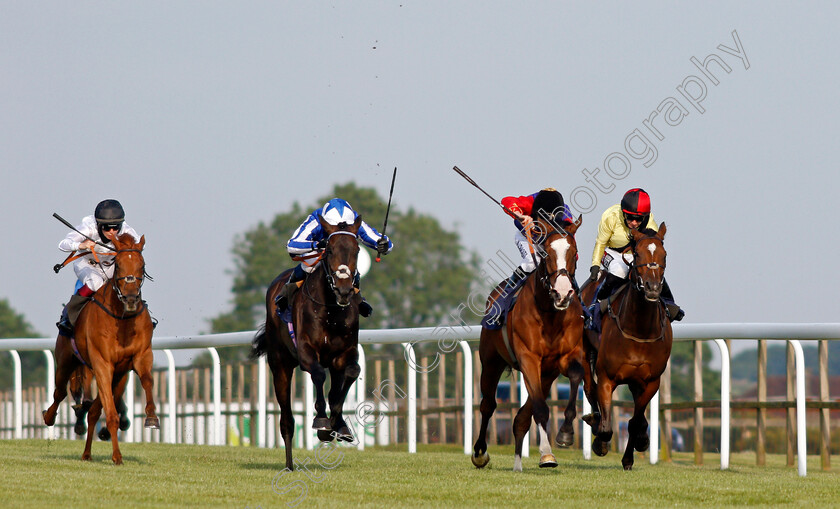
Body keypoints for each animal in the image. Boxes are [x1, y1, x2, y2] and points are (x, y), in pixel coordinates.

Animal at [42, 232, 159, 462]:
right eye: (119, 265)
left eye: (141, 265)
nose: (131, 298)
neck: (122, 319)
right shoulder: (102, 363)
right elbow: (110, 414)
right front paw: (117, 457)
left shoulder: (140, 357)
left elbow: (148, 381)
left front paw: (151, 418)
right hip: (66, 362)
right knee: (60, 393)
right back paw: (49, 417)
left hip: (117, 375)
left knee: (94, 411)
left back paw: (87, 453)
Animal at [253, 213, 364, 468]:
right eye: (330, 250)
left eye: (356, 250)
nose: (344, 290)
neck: (331, 311)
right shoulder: (305, 352)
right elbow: (319, 375)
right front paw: (322, 422)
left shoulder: (344, 353)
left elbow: (350, 374)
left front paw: (337, 424)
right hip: (280, 365)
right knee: (287, 419)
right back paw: (289, 465)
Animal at [472, 215, 596, 472]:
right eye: (546, 253)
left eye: (575, 253)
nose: (562, 293)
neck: (550, 313)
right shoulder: (528, 358)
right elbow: (540, 408)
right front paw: (547, 454)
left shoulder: (566, 357)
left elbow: (576, 376)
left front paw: (565, 433)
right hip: (491, 362)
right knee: (488, 405)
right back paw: (480, 453)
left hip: (546, 375)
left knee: (521, 415)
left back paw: (518, 464)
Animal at [580, 224, 672, 470]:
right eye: (637, 254)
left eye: (664, 255)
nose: (652, 288)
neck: (639, 330)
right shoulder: (606, 377)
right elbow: (606, 425)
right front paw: (600, 442)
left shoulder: (651, 382)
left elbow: (635, 421)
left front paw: (634, 450)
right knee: (589, 388)